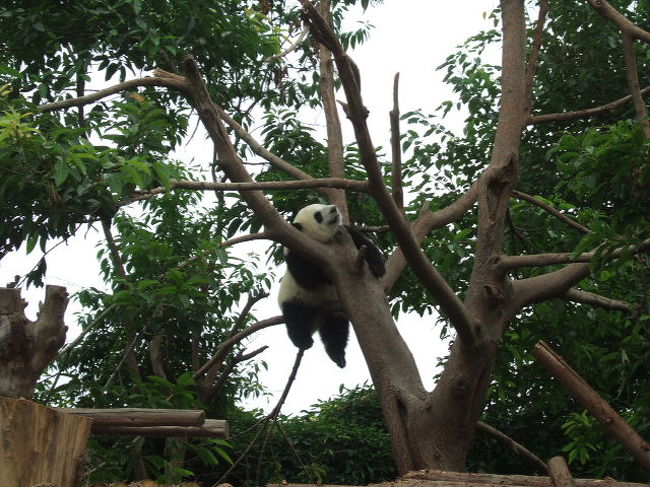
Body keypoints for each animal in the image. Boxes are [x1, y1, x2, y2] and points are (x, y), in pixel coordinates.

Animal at [276, 204, 382, 368]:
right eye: (318, 216)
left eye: (323, 204)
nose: (333, 208)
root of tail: (318, 319)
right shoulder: (296, 251)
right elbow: (308, 277)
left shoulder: (346, 235)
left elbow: (365, 244)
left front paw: (377, 268)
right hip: (295, 298)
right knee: (296, 317)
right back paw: (303, 341)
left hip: (335, 309)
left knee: (336, 329)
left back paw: (337, 355)